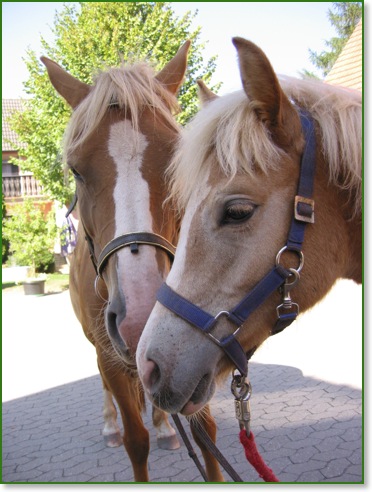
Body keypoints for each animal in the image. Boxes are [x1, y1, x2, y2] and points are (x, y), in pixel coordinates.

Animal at [42, 44, 224, 482]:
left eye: (177, 160)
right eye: (75, 169)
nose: (140, 317)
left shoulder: (188, 350)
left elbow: (206, 430)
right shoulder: (111, 358)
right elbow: (135, 440)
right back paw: (111, 423)